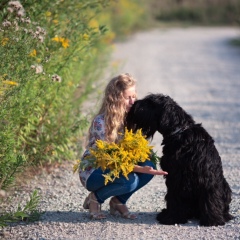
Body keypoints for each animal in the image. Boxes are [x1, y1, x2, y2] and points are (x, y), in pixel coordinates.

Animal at [126, 94, 233, 227]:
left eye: (150, 102)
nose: (133, 106)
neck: (180, 132)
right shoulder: (174, 176)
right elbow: (174, 198)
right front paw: (172, 217)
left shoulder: (205, 176)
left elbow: (210, 197)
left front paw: (213, 220)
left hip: (225, 186)